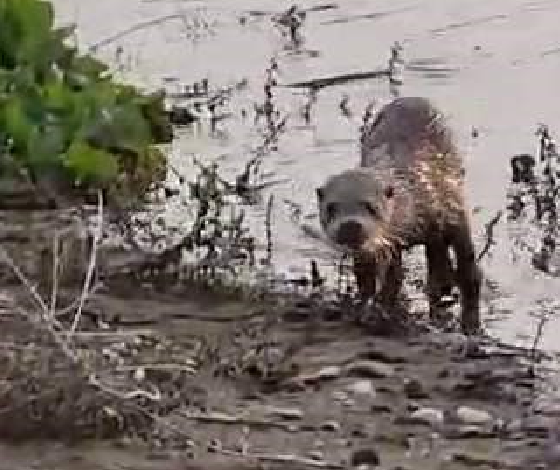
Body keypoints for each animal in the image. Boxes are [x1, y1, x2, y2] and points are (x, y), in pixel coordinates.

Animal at [316, 96, 482, 334]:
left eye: (370, 206)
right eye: (331, 208)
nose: (350, 225)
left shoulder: (454, 212)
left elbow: (468, 266)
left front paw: (469, 323)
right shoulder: (385, 246)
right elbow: (379, 278)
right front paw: (371, 306)